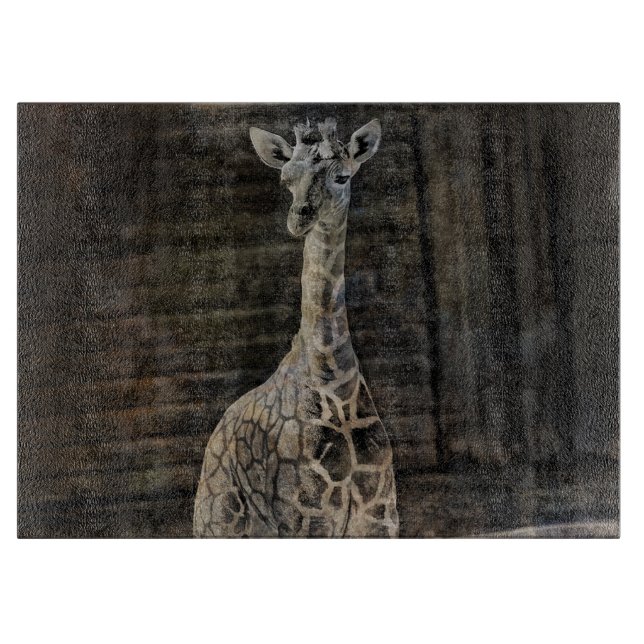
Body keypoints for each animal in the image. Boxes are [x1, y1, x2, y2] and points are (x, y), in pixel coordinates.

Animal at [193, 117, 398, 537]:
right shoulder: (305, 514)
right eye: (286, 179)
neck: (337, 384)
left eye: (341, 176)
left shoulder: (380, 514)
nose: (298, 218)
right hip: (221, 521)